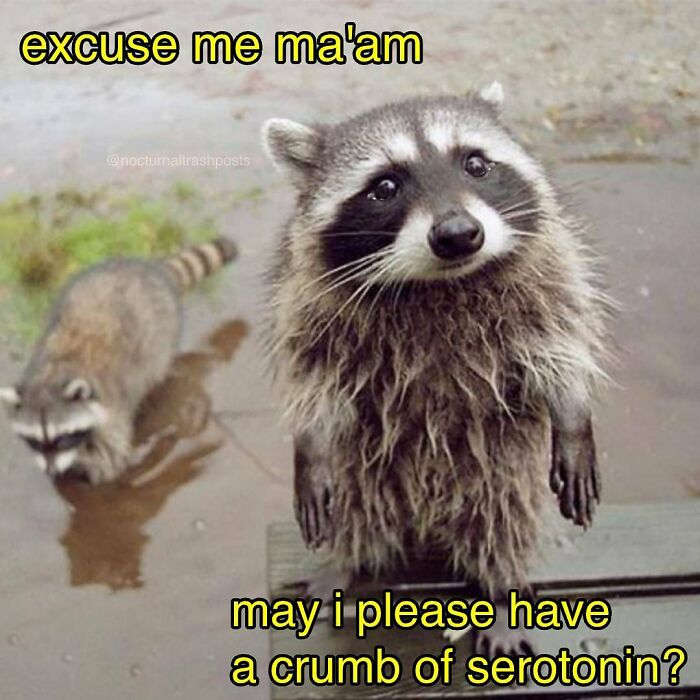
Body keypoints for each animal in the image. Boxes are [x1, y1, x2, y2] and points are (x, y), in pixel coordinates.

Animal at [0, 238, 236, 484]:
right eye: (34, 440)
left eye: (63, 438)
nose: (51, 471)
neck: (53, 374)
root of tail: (153, 269)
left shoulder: (113, 405)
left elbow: (110, 453)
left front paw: (101, 468)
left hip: (163, 332)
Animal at [262, 84, 610, 650]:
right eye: (384, 186)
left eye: (476, 164)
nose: (459, 234)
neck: (438, 283)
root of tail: (427, 516)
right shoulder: (308, 302)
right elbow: (314, 377)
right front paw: (309, 445)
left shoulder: (549, 274)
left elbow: (559, 344)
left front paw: (574, 416)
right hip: (364, 471)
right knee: (359, 512)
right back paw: (346, 564)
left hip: (499, 468)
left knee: (503, 521)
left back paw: (503, 591)